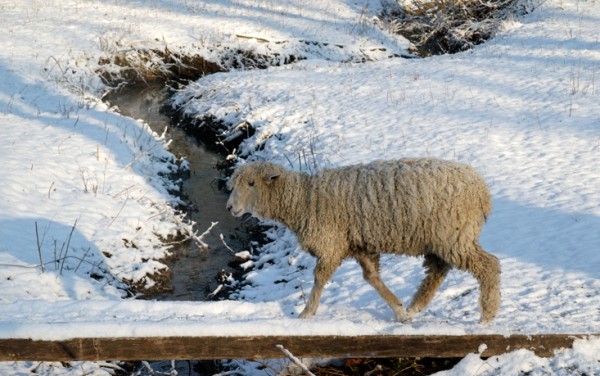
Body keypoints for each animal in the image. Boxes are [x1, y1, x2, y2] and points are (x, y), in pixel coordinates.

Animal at [227, 158, 500, 324]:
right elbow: (373, 278)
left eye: (251, 183)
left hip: (454, 235)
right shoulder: (359, 246)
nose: (229, 208)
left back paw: (487, 316)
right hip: (443, 239)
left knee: (488, 266)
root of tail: (482, 191)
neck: (304, 200)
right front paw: (399, 310)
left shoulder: (331, 244)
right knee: (438, 270)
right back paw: (416, 306)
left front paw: (307, 312)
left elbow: (319, 279)